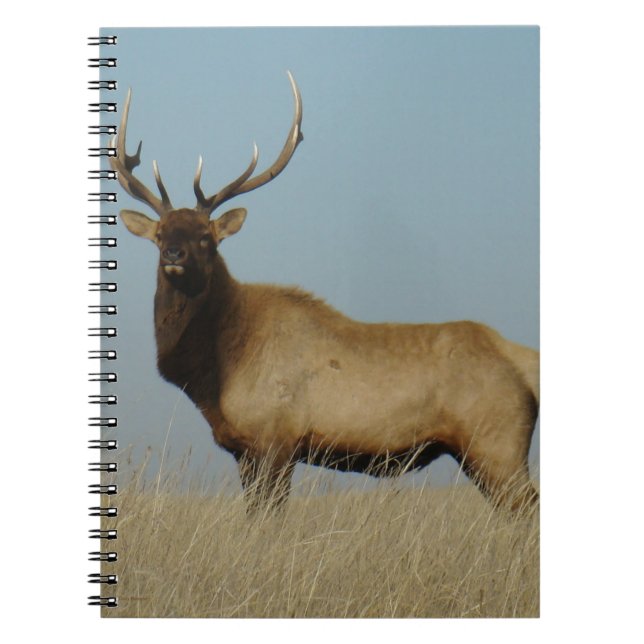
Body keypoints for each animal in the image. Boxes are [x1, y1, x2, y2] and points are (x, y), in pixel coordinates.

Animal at [111, 72, 539, 513]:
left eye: (205, 237)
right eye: (160, 234)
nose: (173, 254)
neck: (214, 375)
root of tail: (525, 361)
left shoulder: (275, 440)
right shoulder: (244, 450)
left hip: (496, 443)